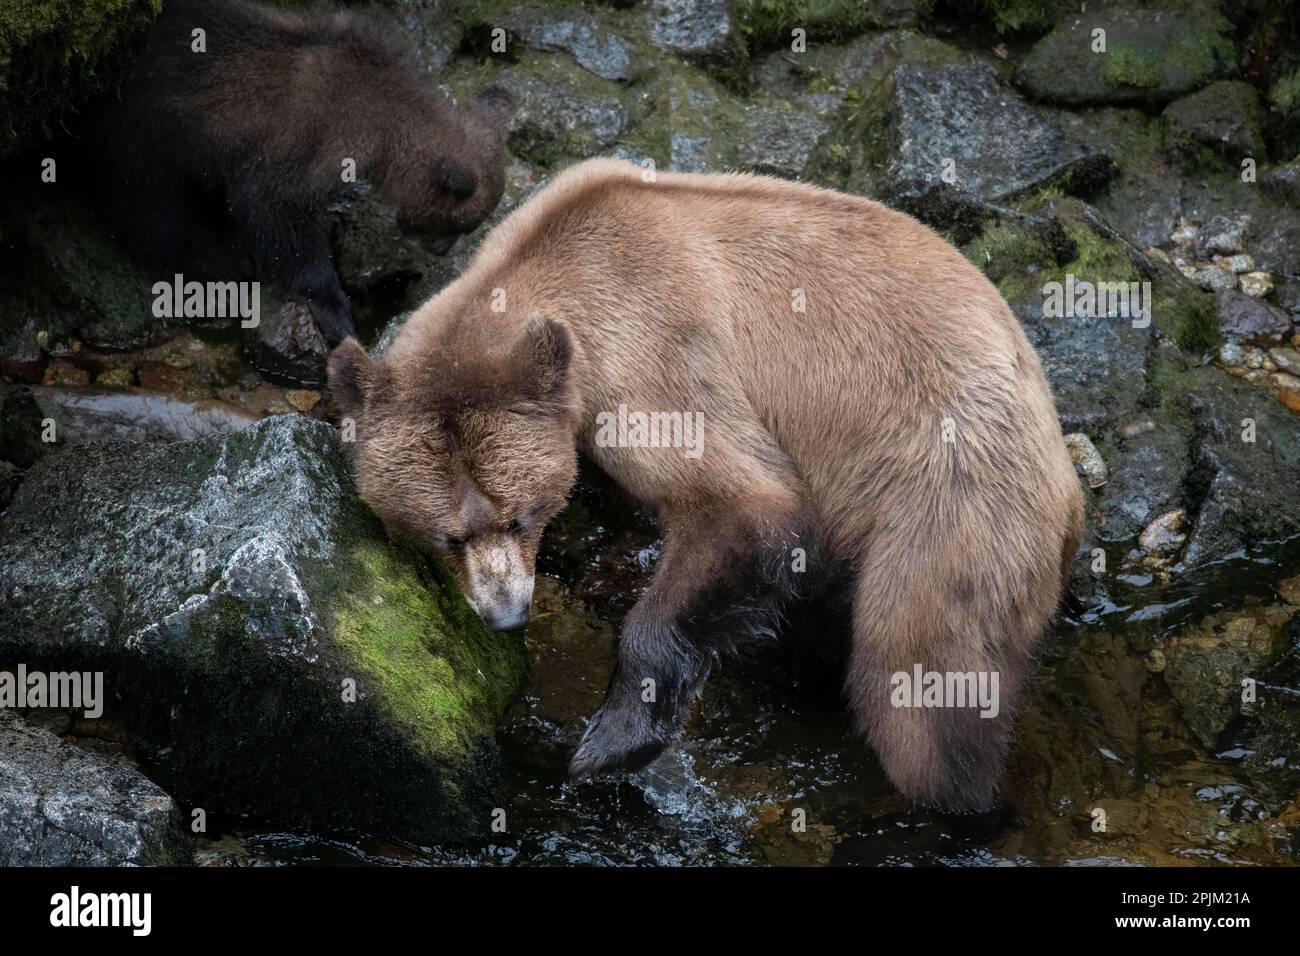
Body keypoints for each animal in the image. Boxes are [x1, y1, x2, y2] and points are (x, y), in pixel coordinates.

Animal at [81, 0, 512, 348]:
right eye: (459, 223)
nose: (443, 249)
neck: (386, 131)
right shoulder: (312, 144)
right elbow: (274, 213)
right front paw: (335, 311)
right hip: (145, 129)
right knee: (152, 207)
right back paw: (206, 275)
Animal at [327, 158, 1086, 816]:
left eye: (519, 517)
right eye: (446, 535)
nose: (506, 613)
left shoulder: (650, 353)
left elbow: (745, 506)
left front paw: (609, 743)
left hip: (949, 491)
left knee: (922, 679)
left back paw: (956, 803)